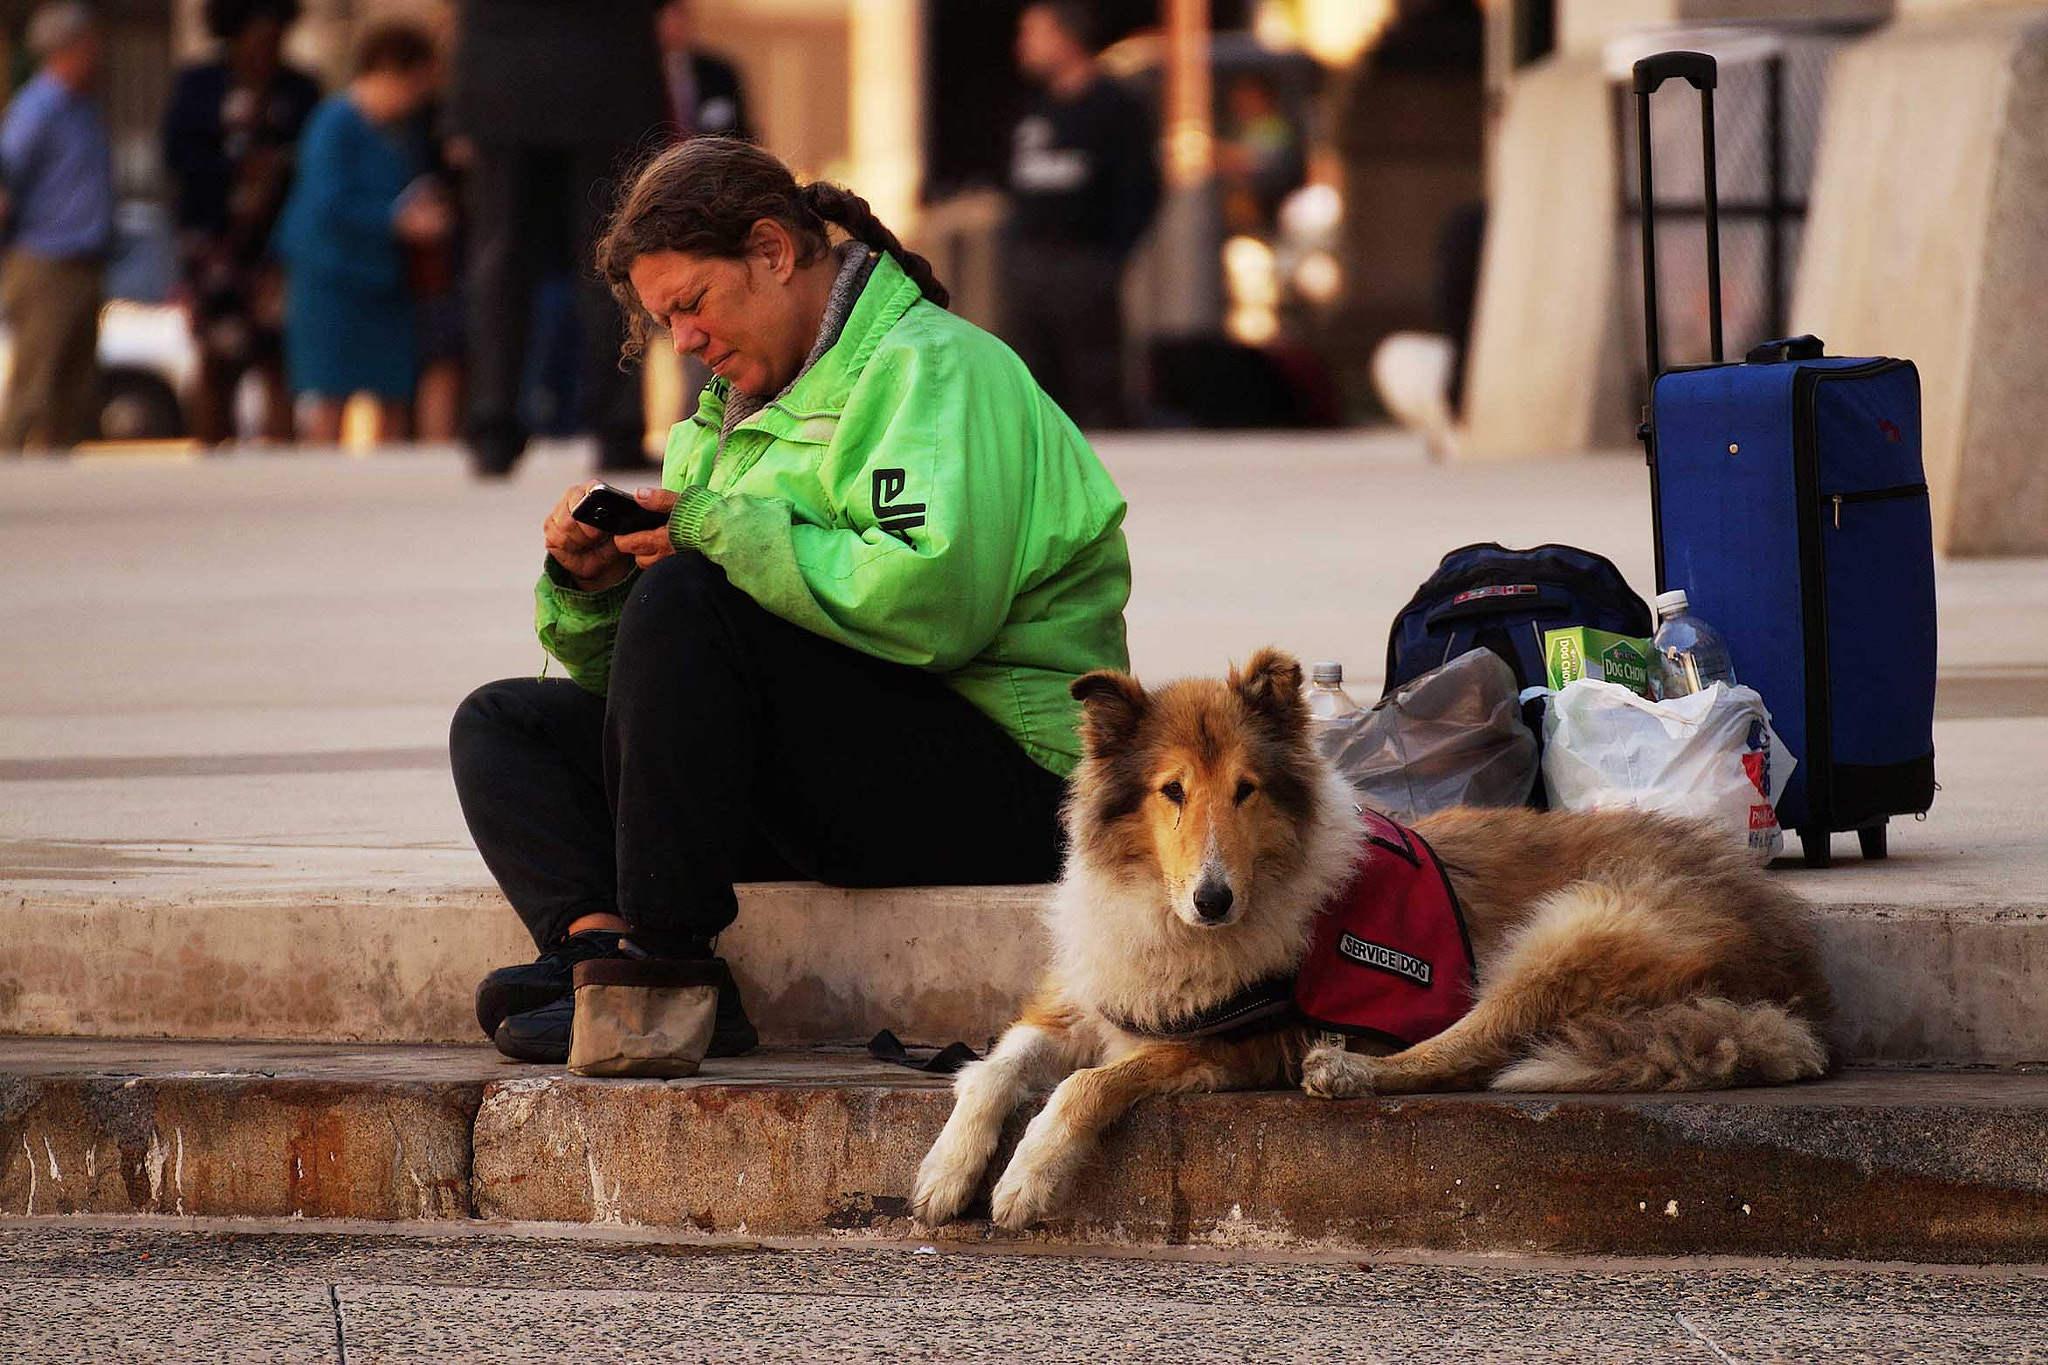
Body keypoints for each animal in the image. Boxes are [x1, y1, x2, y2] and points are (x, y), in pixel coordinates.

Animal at [913, 646, 1843, 1236]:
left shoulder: (1238, 1042)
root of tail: (1790, 968)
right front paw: (945, 1170)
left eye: (1246, 790)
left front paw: (1025, 1178)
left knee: (1468, 1048)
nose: (1213, 900)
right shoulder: (1077, 1003)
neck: (1165, 913)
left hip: (1573, 930)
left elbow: (1087, 1085)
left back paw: (1349, 1070)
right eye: (1171, 790)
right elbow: (989, 1068)